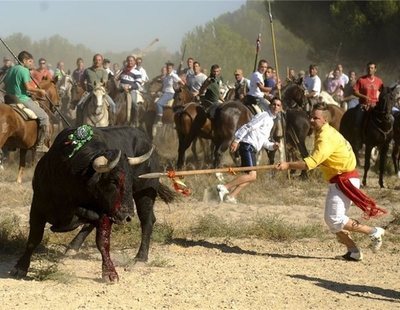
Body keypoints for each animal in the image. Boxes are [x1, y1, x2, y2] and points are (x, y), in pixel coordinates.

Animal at [10, 125, 175, 280]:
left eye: (131, 180)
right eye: (113, 181)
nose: (127, 215)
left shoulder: (105, 213)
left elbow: (102, 241)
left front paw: (109, 273)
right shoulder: (37, 205)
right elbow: (34, 239)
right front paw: (20, 268)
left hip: (144, 195)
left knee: (147, 221)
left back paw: (140, 258)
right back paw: (73, 247)